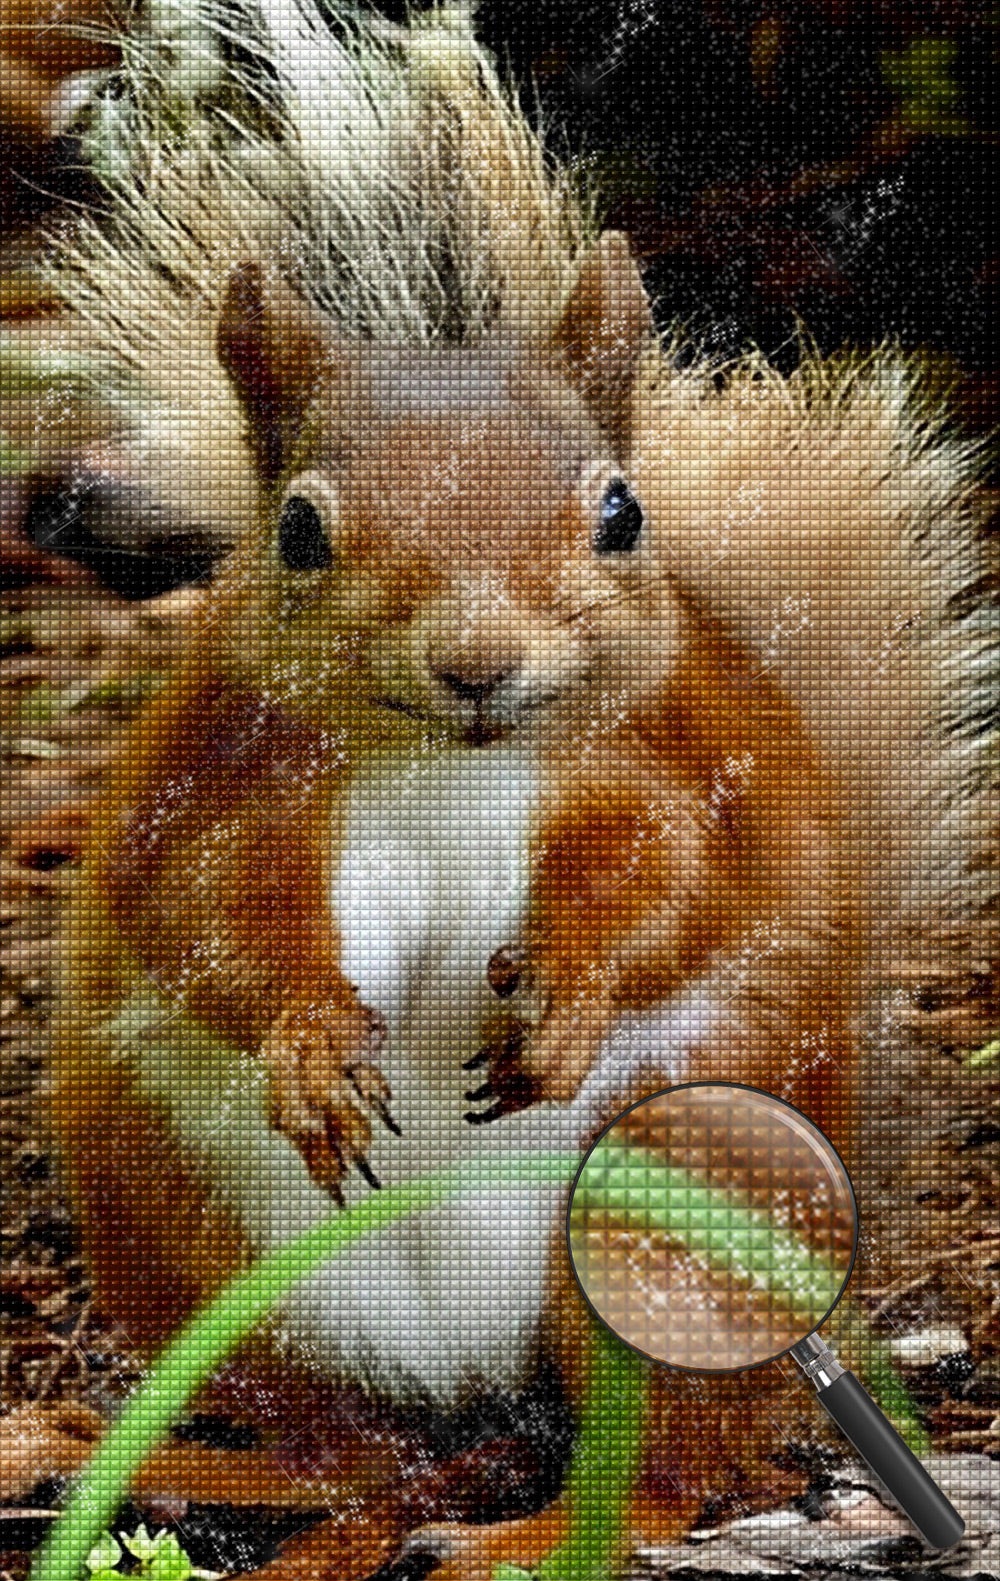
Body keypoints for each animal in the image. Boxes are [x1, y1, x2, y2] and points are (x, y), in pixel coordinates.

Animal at [6, 2, 996, 1577]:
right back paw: (181, 1466)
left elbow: (674, 892)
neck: (450, 765)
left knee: (664, 1463)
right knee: (348, 1445)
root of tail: (475, 1374)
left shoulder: (677, 772)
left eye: (622, 514)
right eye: (297, 530)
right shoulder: (226, 783)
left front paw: (567, 1003)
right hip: (196, 1233)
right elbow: (212, 918)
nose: (477, 661)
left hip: (676, 1225)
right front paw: (309, 1044)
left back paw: (533, 1530)